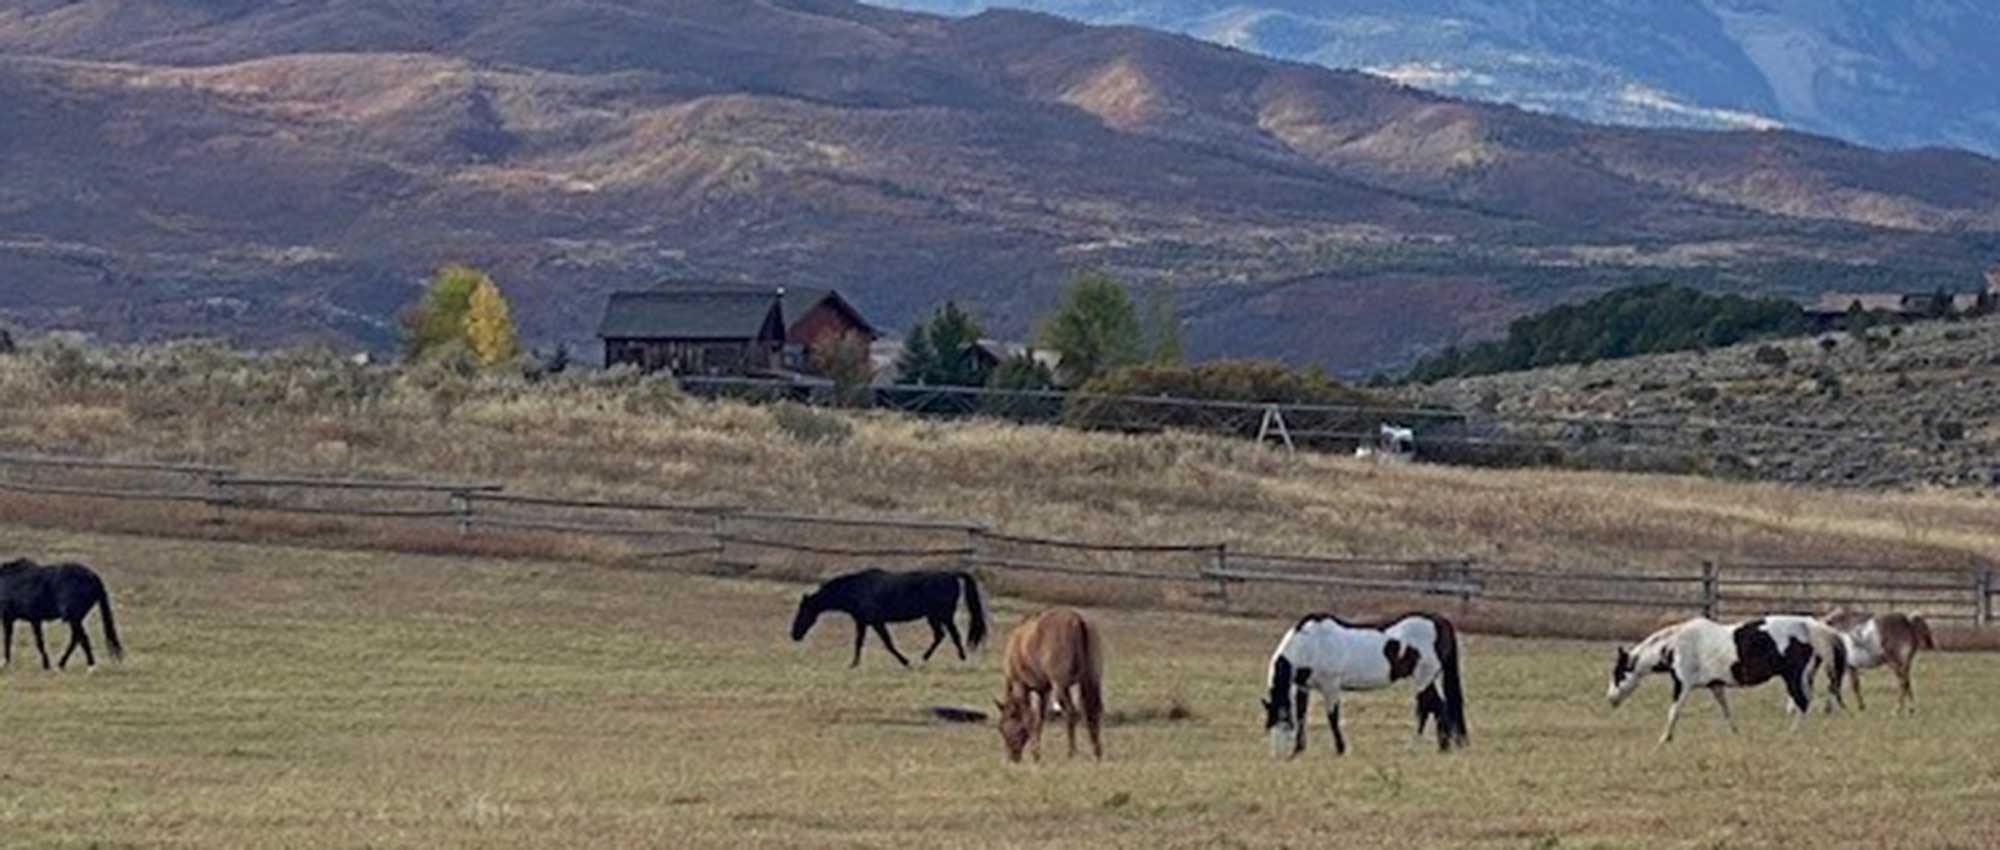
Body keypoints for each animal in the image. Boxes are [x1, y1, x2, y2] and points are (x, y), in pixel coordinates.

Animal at [790, 568, 987, 668]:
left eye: (803, 611)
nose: (794, 635)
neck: (858, 590)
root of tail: (952, 575)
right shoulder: (863, 622)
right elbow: (859, 642)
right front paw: (854, 664)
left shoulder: (877, 622)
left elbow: (888, 643)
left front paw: (905, 661)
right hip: (933, 617)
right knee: (940, 636)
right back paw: (925, 658)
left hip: (943, 615)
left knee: (953, 635)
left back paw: (961, 658)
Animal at [994, 607, 1104, 763]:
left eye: (1001, 728)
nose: (1012, 757)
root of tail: (1077, 620)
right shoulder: (1044, 690)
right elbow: (1039, 720)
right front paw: (1037, 751)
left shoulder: (1020, 686)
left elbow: (1029, 719)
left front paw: (1035, 754)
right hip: (1091, 679)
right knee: (1093, 712)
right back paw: (1097, 752)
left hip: (1060, 684)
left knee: (1071, 713)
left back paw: (1071, 753)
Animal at [1262, 612, 1467, 758]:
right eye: (1269, 724)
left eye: (1284, 723)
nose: (1278, 756)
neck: (1311, 643)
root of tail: (1440, 621)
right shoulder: (1303, 687)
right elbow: (1302, 716)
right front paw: (1299, 749)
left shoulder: (1330, 686)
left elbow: (1332, 717)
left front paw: (1341, 749)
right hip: (1427, 680)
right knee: (1437, 707)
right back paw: (1442, 747)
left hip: (1423, 678)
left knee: (1428, 708)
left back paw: (1419, 746)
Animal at [1607, 615, 1846, 745]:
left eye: (1618, 673)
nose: (1610, 699)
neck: (1674, 646)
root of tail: (1810, 626)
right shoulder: (1716, 686)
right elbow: (1726, 709)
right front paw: (1735, 732)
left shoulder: (1682, 684)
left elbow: (1674, 711)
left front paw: (1665, 738)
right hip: (1804, 677)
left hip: (1793, 677)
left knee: (1802, 703)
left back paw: (1792, 734)